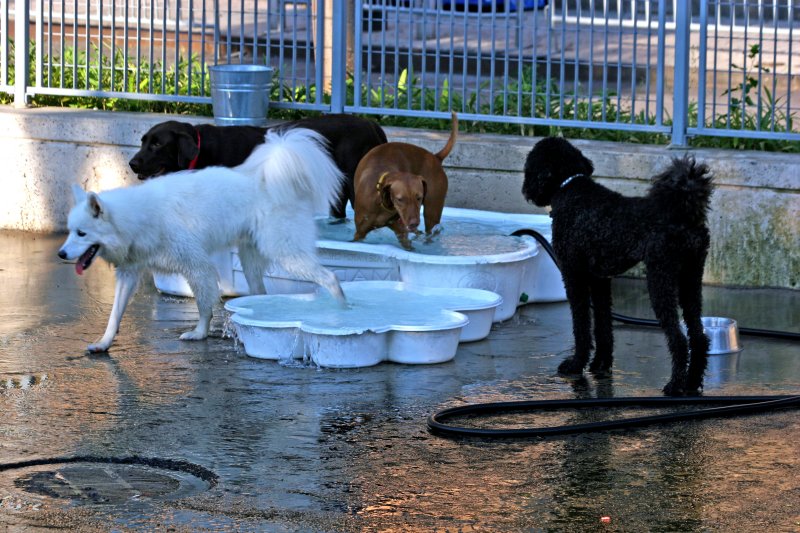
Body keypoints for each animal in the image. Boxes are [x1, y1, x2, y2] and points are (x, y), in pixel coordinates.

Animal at [56, 128, 344, 354]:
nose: (60, 254)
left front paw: (199, 333)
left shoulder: (197, 266)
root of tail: (269, 176)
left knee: (330, 277)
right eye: (70, 231)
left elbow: (204, 306)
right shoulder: (129, 272)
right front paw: (103, 343)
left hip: (286, 252)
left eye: (81, 233)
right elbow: (114, 315)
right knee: (261, 293)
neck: (137, 219)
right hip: (251, 259)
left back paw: (341, 309)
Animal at [352, 112, 456, 249]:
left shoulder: (402, 232)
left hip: (432, 212)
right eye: (400, 199)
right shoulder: (360, 232)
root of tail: (435, 157)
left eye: (419, 198)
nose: (414, 223)